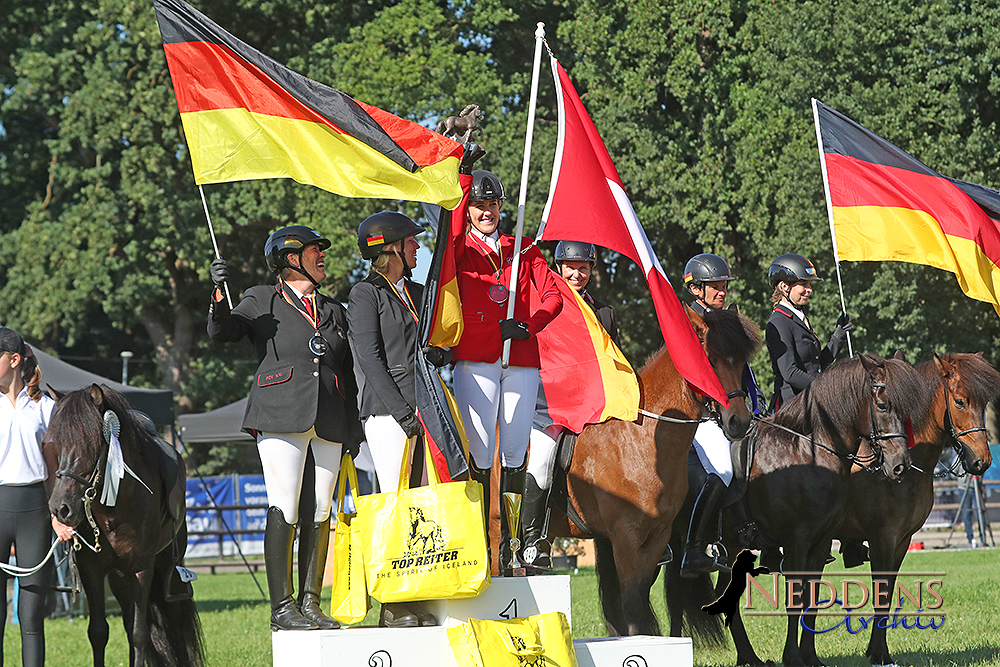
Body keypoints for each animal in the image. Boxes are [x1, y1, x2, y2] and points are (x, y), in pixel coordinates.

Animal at [45, 386, 203, 667]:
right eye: (56, 445)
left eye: (90, 443)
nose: (60, 508)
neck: (114, 510)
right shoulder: (91, 570)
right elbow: (98, 632)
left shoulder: (142, 568)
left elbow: (140, 635)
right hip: (119, 577)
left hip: (166, 567)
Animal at [488, 308, 760, 636]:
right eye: (710, 361)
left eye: (741, 362)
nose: (739, 422)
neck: (643, 439)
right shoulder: (626, 538)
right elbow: (630, 606)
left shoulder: (656, 539)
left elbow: (638, 603)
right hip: (496, 525)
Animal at [664, 352, 928, 664]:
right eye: (883, 405)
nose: (900, 465)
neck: (807, 452)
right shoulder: (797, 542)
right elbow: (796, 597)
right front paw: (792, 656)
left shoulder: (821, 543)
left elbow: (812, 598)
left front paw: (810, 657)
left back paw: (747, 657)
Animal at [836, 352, 1000, 664]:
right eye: (959, 401)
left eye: (984, 403)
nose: (982, 462)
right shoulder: (882, 539)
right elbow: (881, 592)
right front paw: (879, 654)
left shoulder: (902, 540)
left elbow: (888, 594)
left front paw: (877, 650)